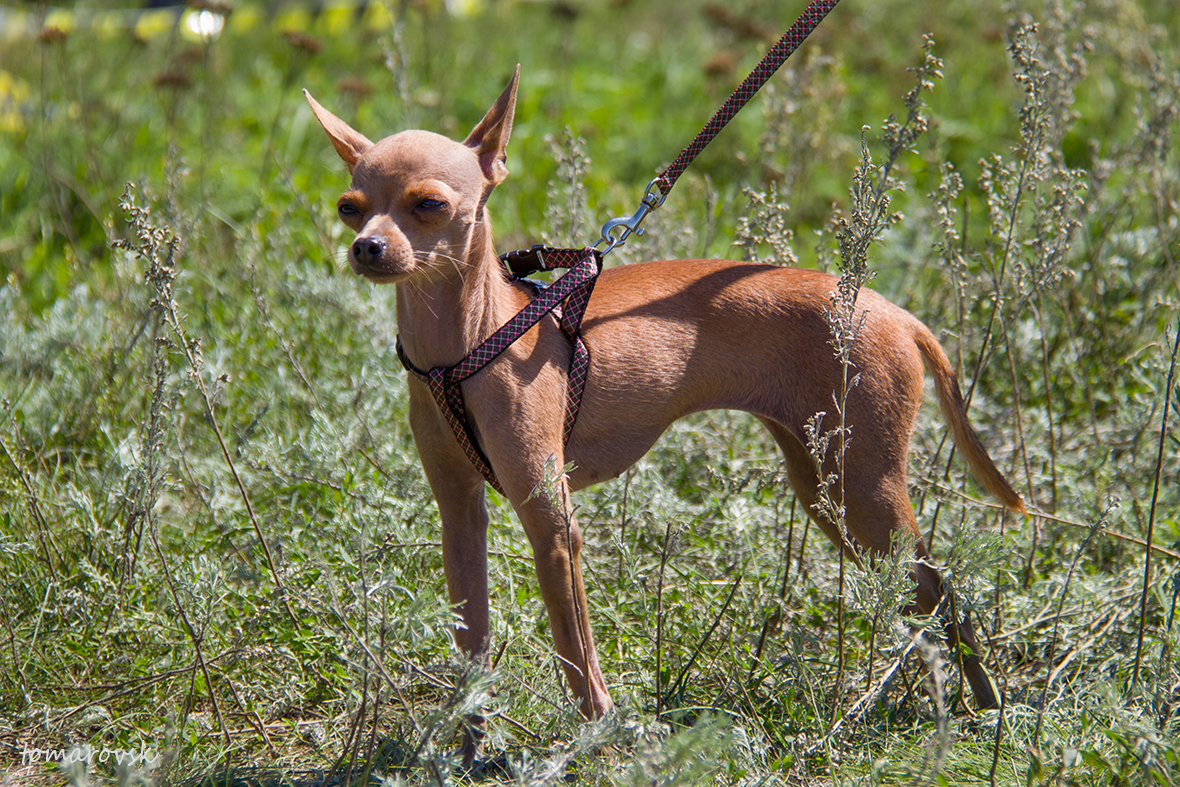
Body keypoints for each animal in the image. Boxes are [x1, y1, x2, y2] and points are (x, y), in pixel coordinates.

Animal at [304, 67, 1024, 755]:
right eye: (349, 209)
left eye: (429, 205)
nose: (367, 248)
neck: (465, 345)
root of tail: (894, 311)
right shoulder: (460, 514)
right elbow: (472, 651)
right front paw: (469, 747)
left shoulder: (553, 522)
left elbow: (575, 651)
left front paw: (600, 734)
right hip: (829, 491)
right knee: (924, 595)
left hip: (863, 491)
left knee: (942, 589)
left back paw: (980, 709)